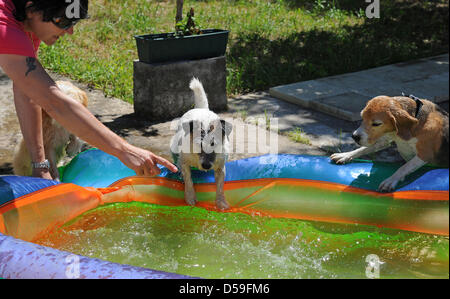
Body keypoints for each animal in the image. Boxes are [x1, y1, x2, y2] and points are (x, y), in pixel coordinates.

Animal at [169, 78, 232, 212]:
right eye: (199, 144)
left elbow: (220, 186)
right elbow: (188, 179)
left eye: (214, 144)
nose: (206, 165)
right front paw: (190, 197)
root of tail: (201, 108)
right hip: (174, 144)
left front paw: (221, 202)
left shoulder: (220, 166)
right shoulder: (184, 162)